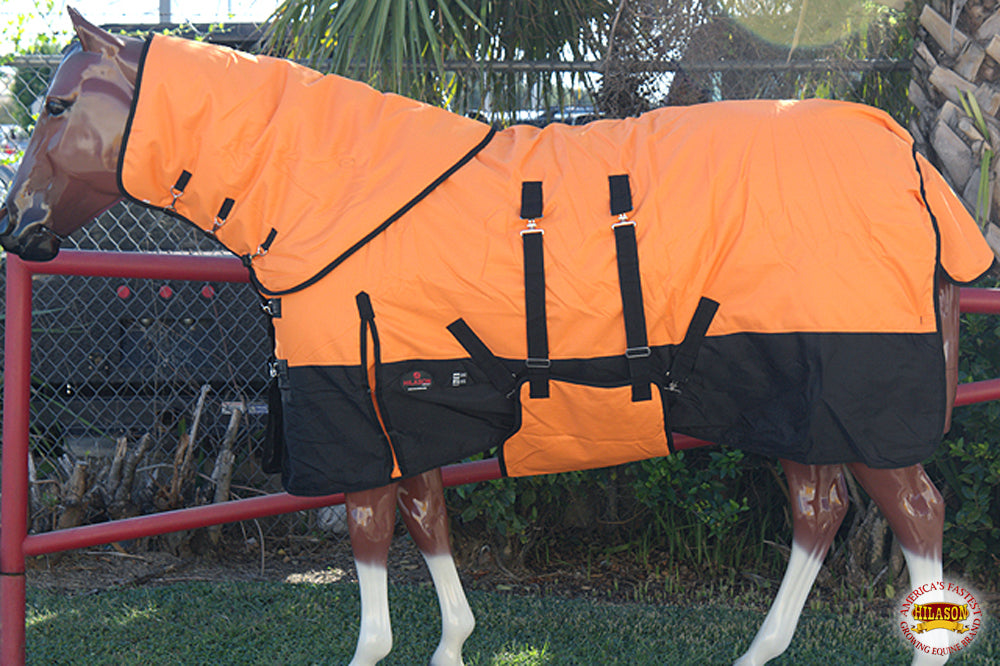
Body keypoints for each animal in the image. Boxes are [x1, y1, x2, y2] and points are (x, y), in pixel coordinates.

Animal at [0, 9, 990, 665]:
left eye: (57, 106)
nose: (18, 228)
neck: (332, 192)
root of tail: (909, 160)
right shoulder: (404, 402)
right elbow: (426, 519)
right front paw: (452, 645)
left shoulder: (358, 408)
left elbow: (370, 529)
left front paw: (376, 649)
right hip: (796, 402)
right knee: (820, 512)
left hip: (856, 393)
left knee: (917, 511)